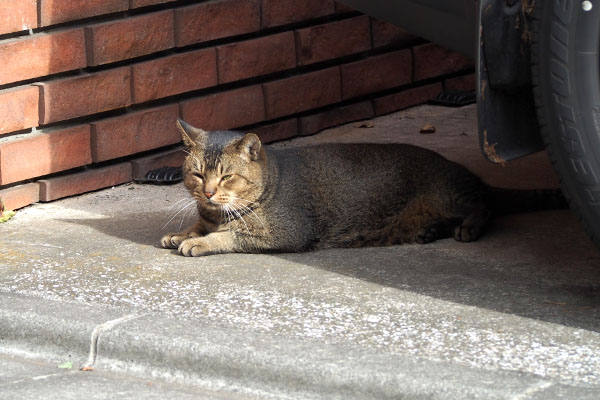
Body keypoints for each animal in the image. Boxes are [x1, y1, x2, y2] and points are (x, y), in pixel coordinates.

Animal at [159, 119, 564, 256]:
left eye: (226, 176)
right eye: (198, 175)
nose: (208, 192)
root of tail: (466, 171)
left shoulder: (288, 231)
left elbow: (229, 234)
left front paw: (198, 241)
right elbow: (201, 225)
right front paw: (183, 233)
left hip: (449, 195)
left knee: (486, 204)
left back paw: (468, 227)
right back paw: (428, 231)